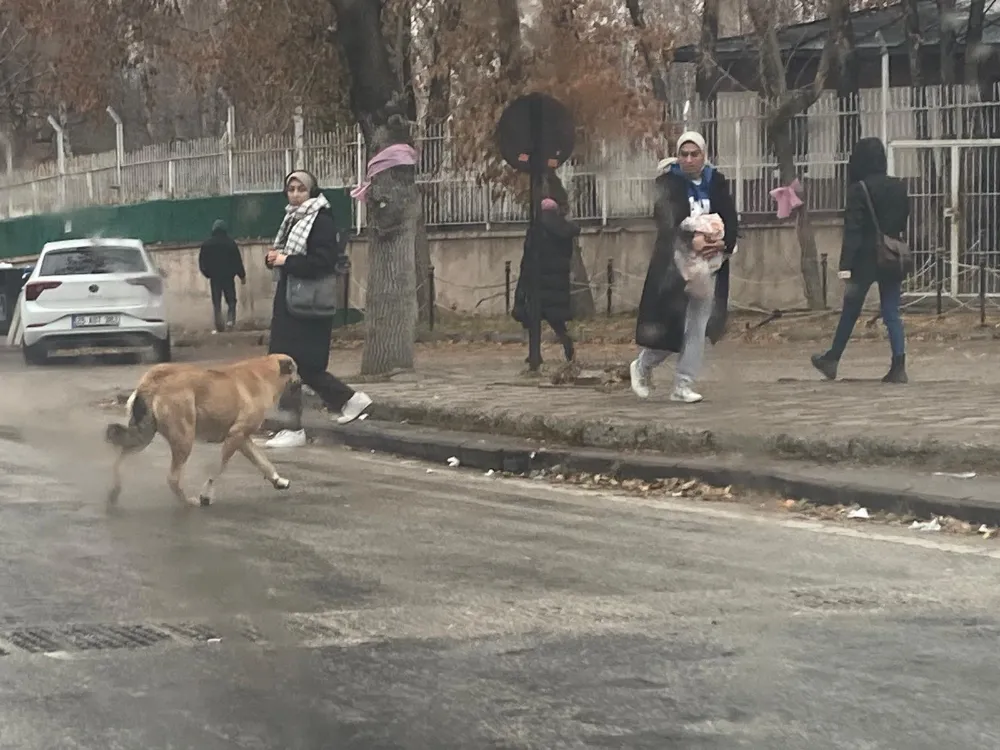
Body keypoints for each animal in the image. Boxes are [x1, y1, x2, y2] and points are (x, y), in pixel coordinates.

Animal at [108, 356, 300, 508]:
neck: (265, 373)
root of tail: (154, 380)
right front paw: (206, 494)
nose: (301, 381)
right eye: (296, 369)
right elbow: (217, 469)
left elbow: (264, 462)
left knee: (119, 460)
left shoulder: (243, 439)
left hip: (144, 436)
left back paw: (114, 491)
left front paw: (278, 480)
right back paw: (188, 502)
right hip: (184, 439)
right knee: (173, 478)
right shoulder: (235, 436)